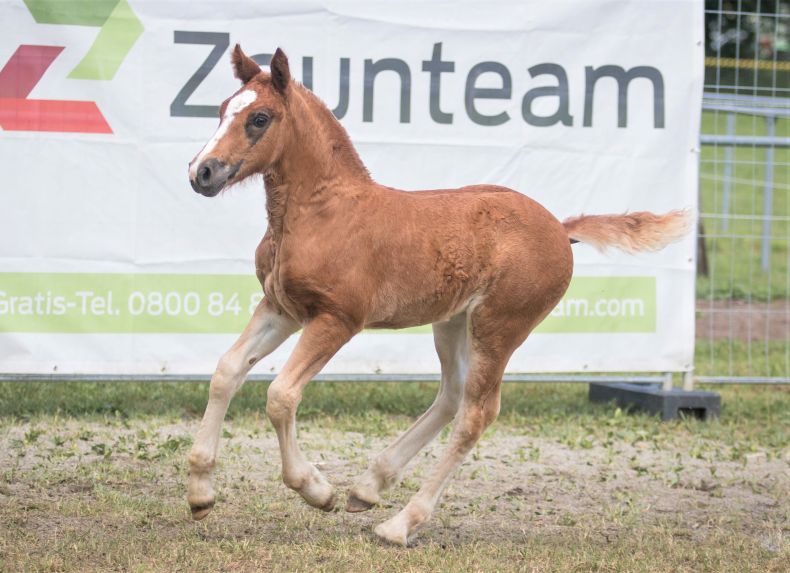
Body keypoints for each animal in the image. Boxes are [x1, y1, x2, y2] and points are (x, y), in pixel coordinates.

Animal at [187, 45, 692, 544]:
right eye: (221, 110)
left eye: (260, 118)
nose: (202, 172)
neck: (322, 212)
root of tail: (560, 228)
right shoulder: (281, 308)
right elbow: (226, 371)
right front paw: (200, 493)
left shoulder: (336, 319)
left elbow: (281, 395)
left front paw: (316, 489)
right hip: (452, 322)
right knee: (452, 394)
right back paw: (369, 488)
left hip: (499, 327)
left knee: (476, 414)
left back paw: (398, 523)